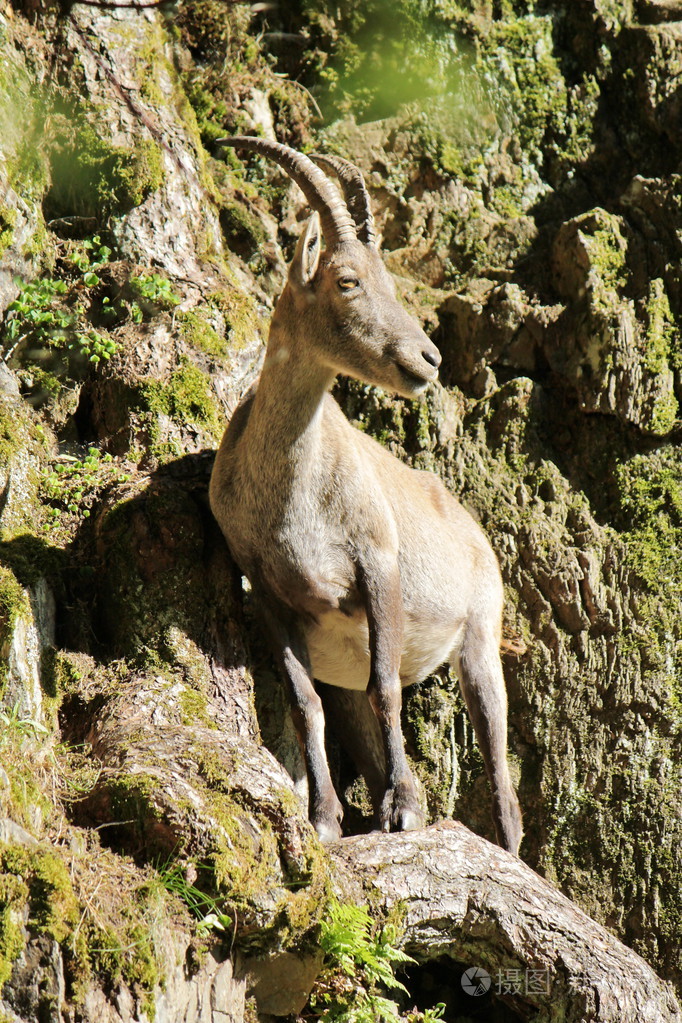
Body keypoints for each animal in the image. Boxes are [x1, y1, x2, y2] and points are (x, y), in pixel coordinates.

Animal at [211, 138, 523, 855]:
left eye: (391, 282)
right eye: (347, 280)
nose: (428, 359)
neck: (292, 501)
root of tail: (473, 529)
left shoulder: (376, 564)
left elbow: (388, 689)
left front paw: (398, 811)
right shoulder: (265, 589)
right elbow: (305, 704)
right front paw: (324, 818)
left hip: (480, 638)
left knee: (501, 773)